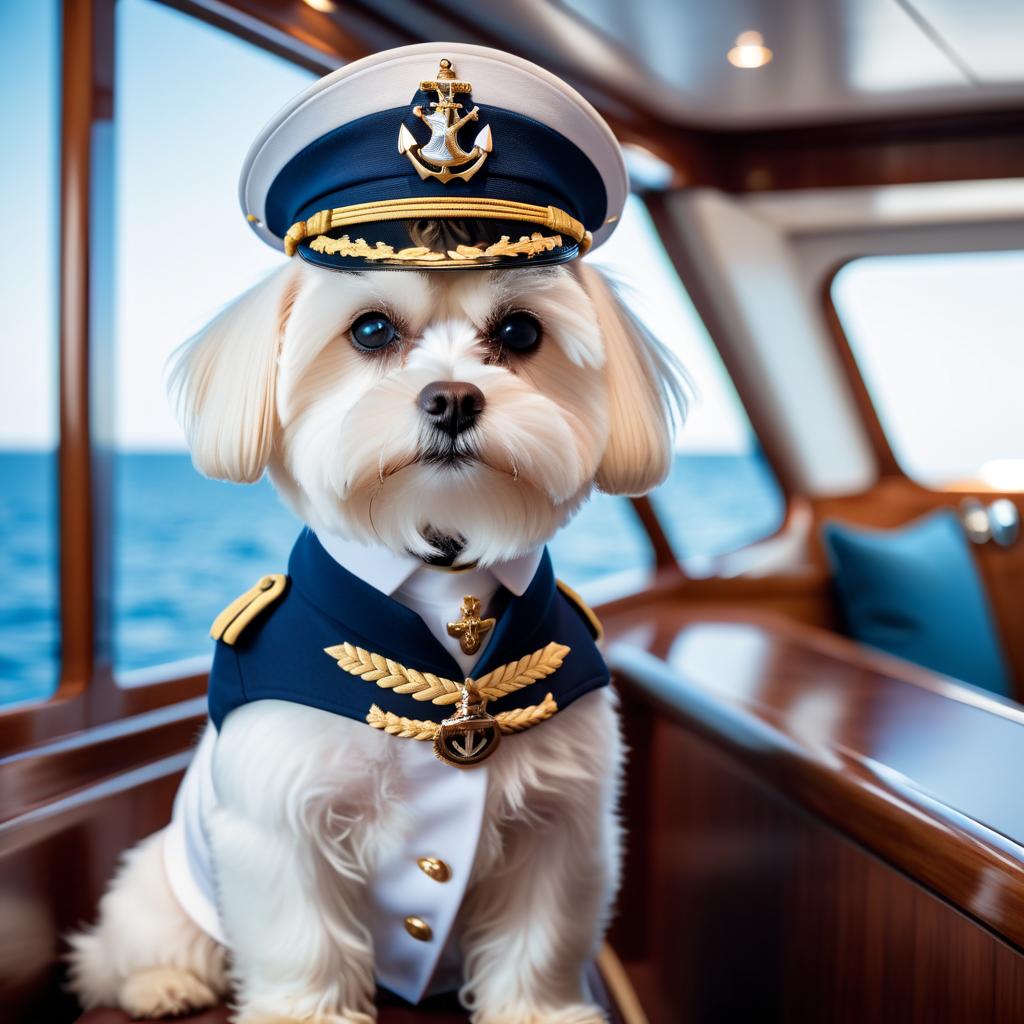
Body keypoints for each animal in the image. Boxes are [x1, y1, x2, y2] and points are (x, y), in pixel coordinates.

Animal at [68, 241, 684, 1024]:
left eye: (520, 333)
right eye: (370, 330)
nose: (453, 398)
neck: (444, 582)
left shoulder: (562, 824)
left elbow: (539, 938)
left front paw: (538, 1012)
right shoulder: (283, 820)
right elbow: (302, 936)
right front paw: (301, 1015)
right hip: (161, 880)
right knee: (121, 949)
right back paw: (162, 984)